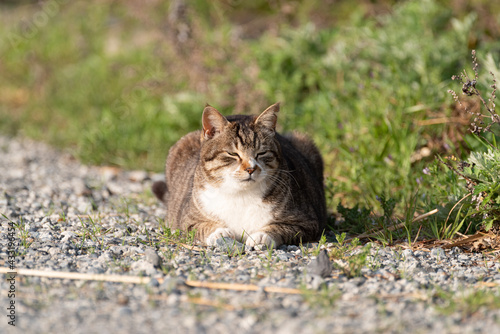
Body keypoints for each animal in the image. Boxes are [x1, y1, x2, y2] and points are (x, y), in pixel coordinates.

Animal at [150, 103, 326, 249]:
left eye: (261, 153)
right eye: (233, 154)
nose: (251, 168)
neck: (241, 194)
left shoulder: (307, 221)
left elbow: (282, 227)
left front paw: (261, 236)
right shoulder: (186, 220)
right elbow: (203, 227)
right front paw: (219, 233)